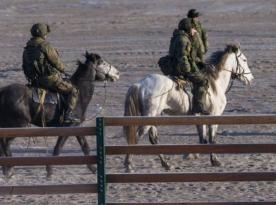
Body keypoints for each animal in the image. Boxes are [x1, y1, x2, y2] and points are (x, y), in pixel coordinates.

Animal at [124, 44, 253, 172]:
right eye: (244, 60)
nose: (251, 79)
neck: (215, 84)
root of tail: (140, 84)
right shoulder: (214, 115)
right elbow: (212, 139)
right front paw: (214, 160)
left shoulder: (201, 116)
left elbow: (203, 139)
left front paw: (192, 154)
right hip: (148, 117)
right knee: (136, 137)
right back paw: (128, 164)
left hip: (154, 117)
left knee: (153, 139)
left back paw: (165, 163)